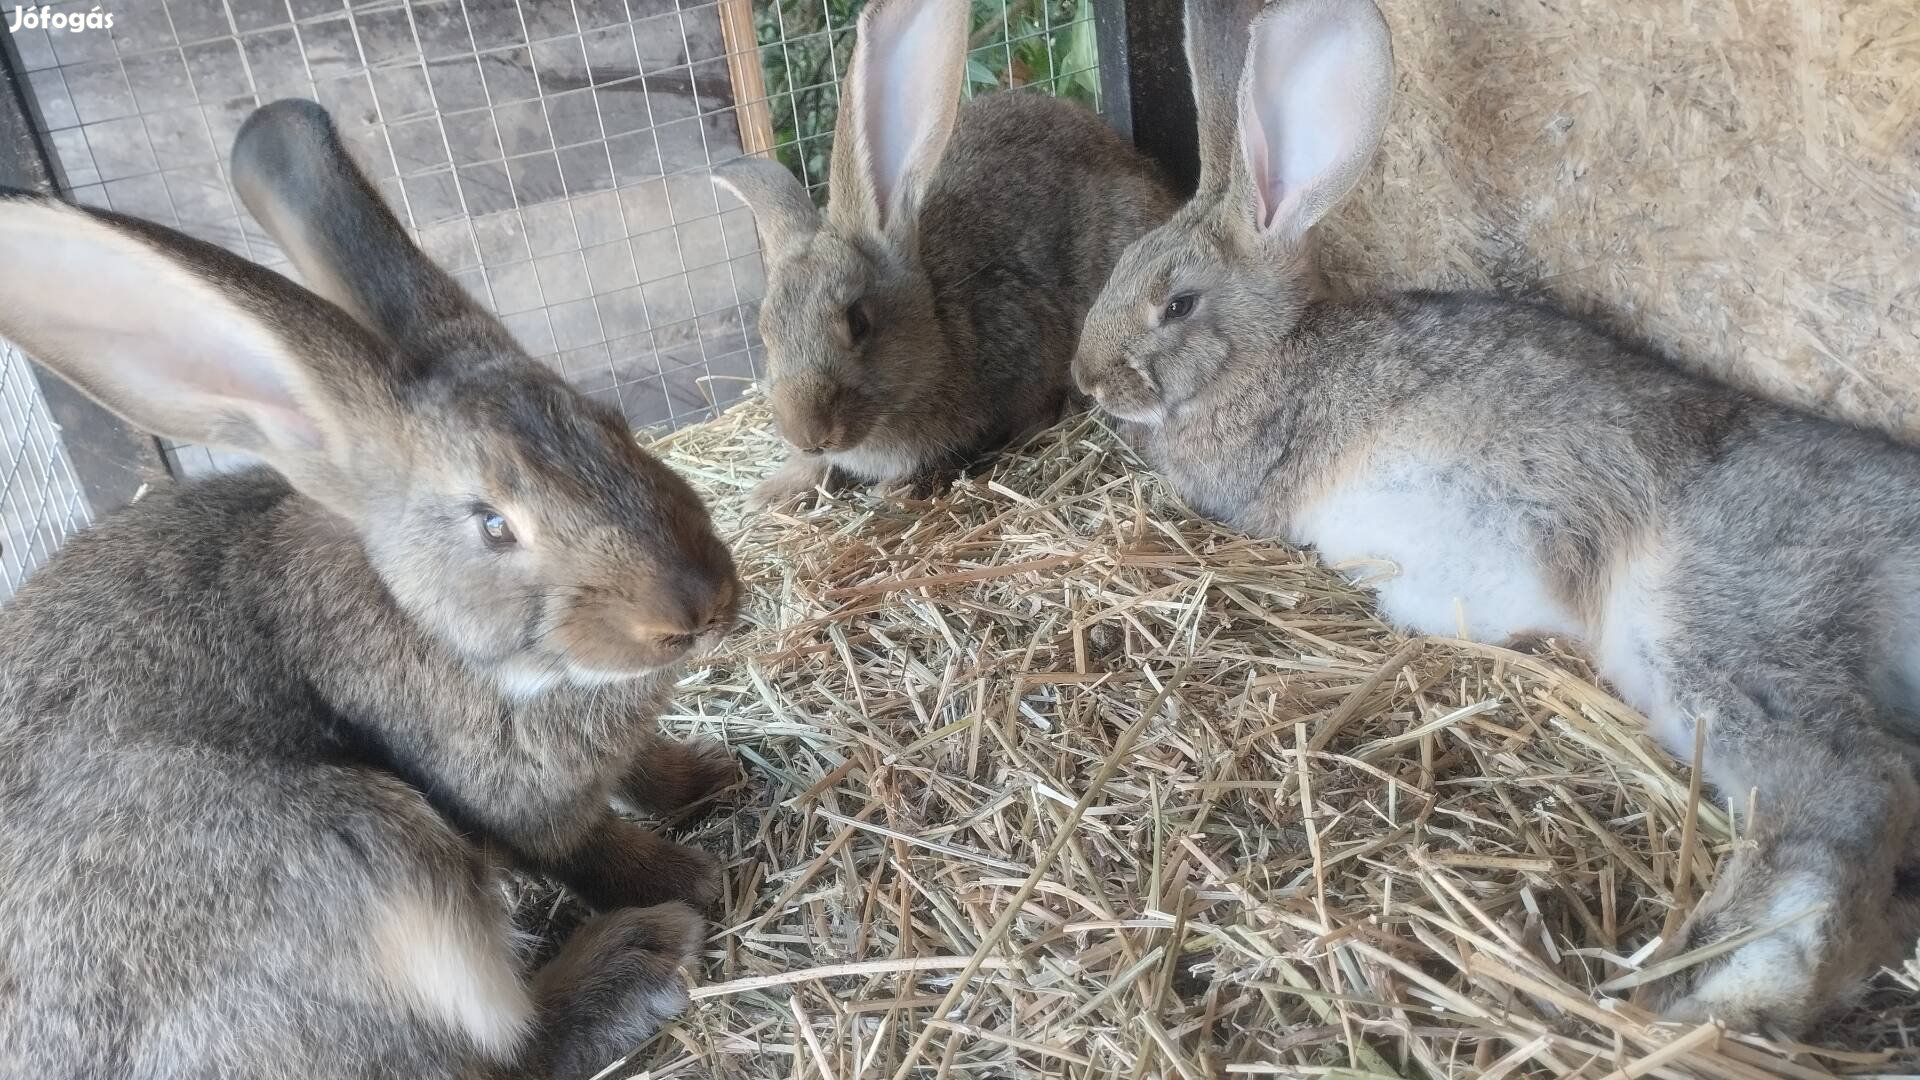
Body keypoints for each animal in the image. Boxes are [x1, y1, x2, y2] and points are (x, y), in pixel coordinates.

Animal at [0, 96, 733, 1068]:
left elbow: (645, 771)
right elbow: (595, 848)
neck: (426, 617)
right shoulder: (511, 804)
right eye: (492, 524)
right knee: (488, 1054)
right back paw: (641, 956)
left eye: (613, 426)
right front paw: (693, 877)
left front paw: (709, 777)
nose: (697, 606)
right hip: (374, 858)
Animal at [718, 0, 1175, 499]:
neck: (941, 331)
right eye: (765, 332)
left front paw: (892, 489)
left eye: (858, 323)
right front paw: (774, 491)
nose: (807, 434)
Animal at [1082, 0, 1920, 1037]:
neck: (1274, 352)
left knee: (1856, 791)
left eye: (1178, 304)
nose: (1086, 378)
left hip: (1719, 626)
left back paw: (1727, 986)